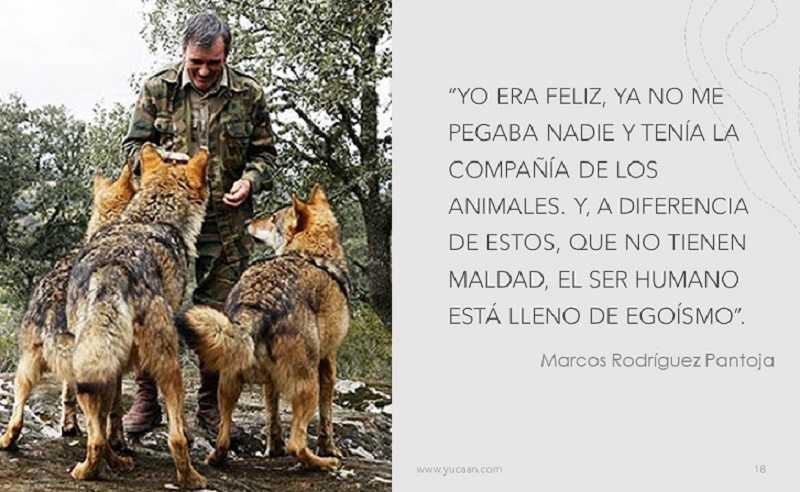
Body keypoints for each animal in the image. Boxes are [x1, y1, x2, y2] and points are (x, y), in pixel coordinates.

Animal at [0, 163, 137, 451]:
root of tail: (55, 301)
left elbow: (67, 394)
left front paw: (69, 426)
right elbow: (116, 410)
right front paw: (118, 439)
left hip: (28, 362)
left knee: (18, 409)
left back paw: (8, 440)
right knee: (99, 419)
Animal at [66, 143, 208, 488]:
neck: (152, 216)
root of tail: (112, 270)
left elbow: (112, 418)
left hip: (89, 367)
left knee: (96, 437)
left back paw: (96, 468)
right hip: (170, 365)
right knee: (176, 438)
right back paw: (192, 478)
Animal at [178, 184, 350, 471]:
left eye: (272, 219)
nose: (248, 221)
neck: (313, 254)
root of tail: (256, 304)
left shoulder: (271, 381)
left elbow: (271, 413)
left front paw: (273, 448)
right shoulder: (328, 363)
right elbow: (326, 418)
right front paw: (331, 450)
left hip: (228, 385)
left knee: (223, 436)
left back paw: (216, 458)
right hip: (307, 387)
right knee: (297, 444)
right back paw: (324, 463)